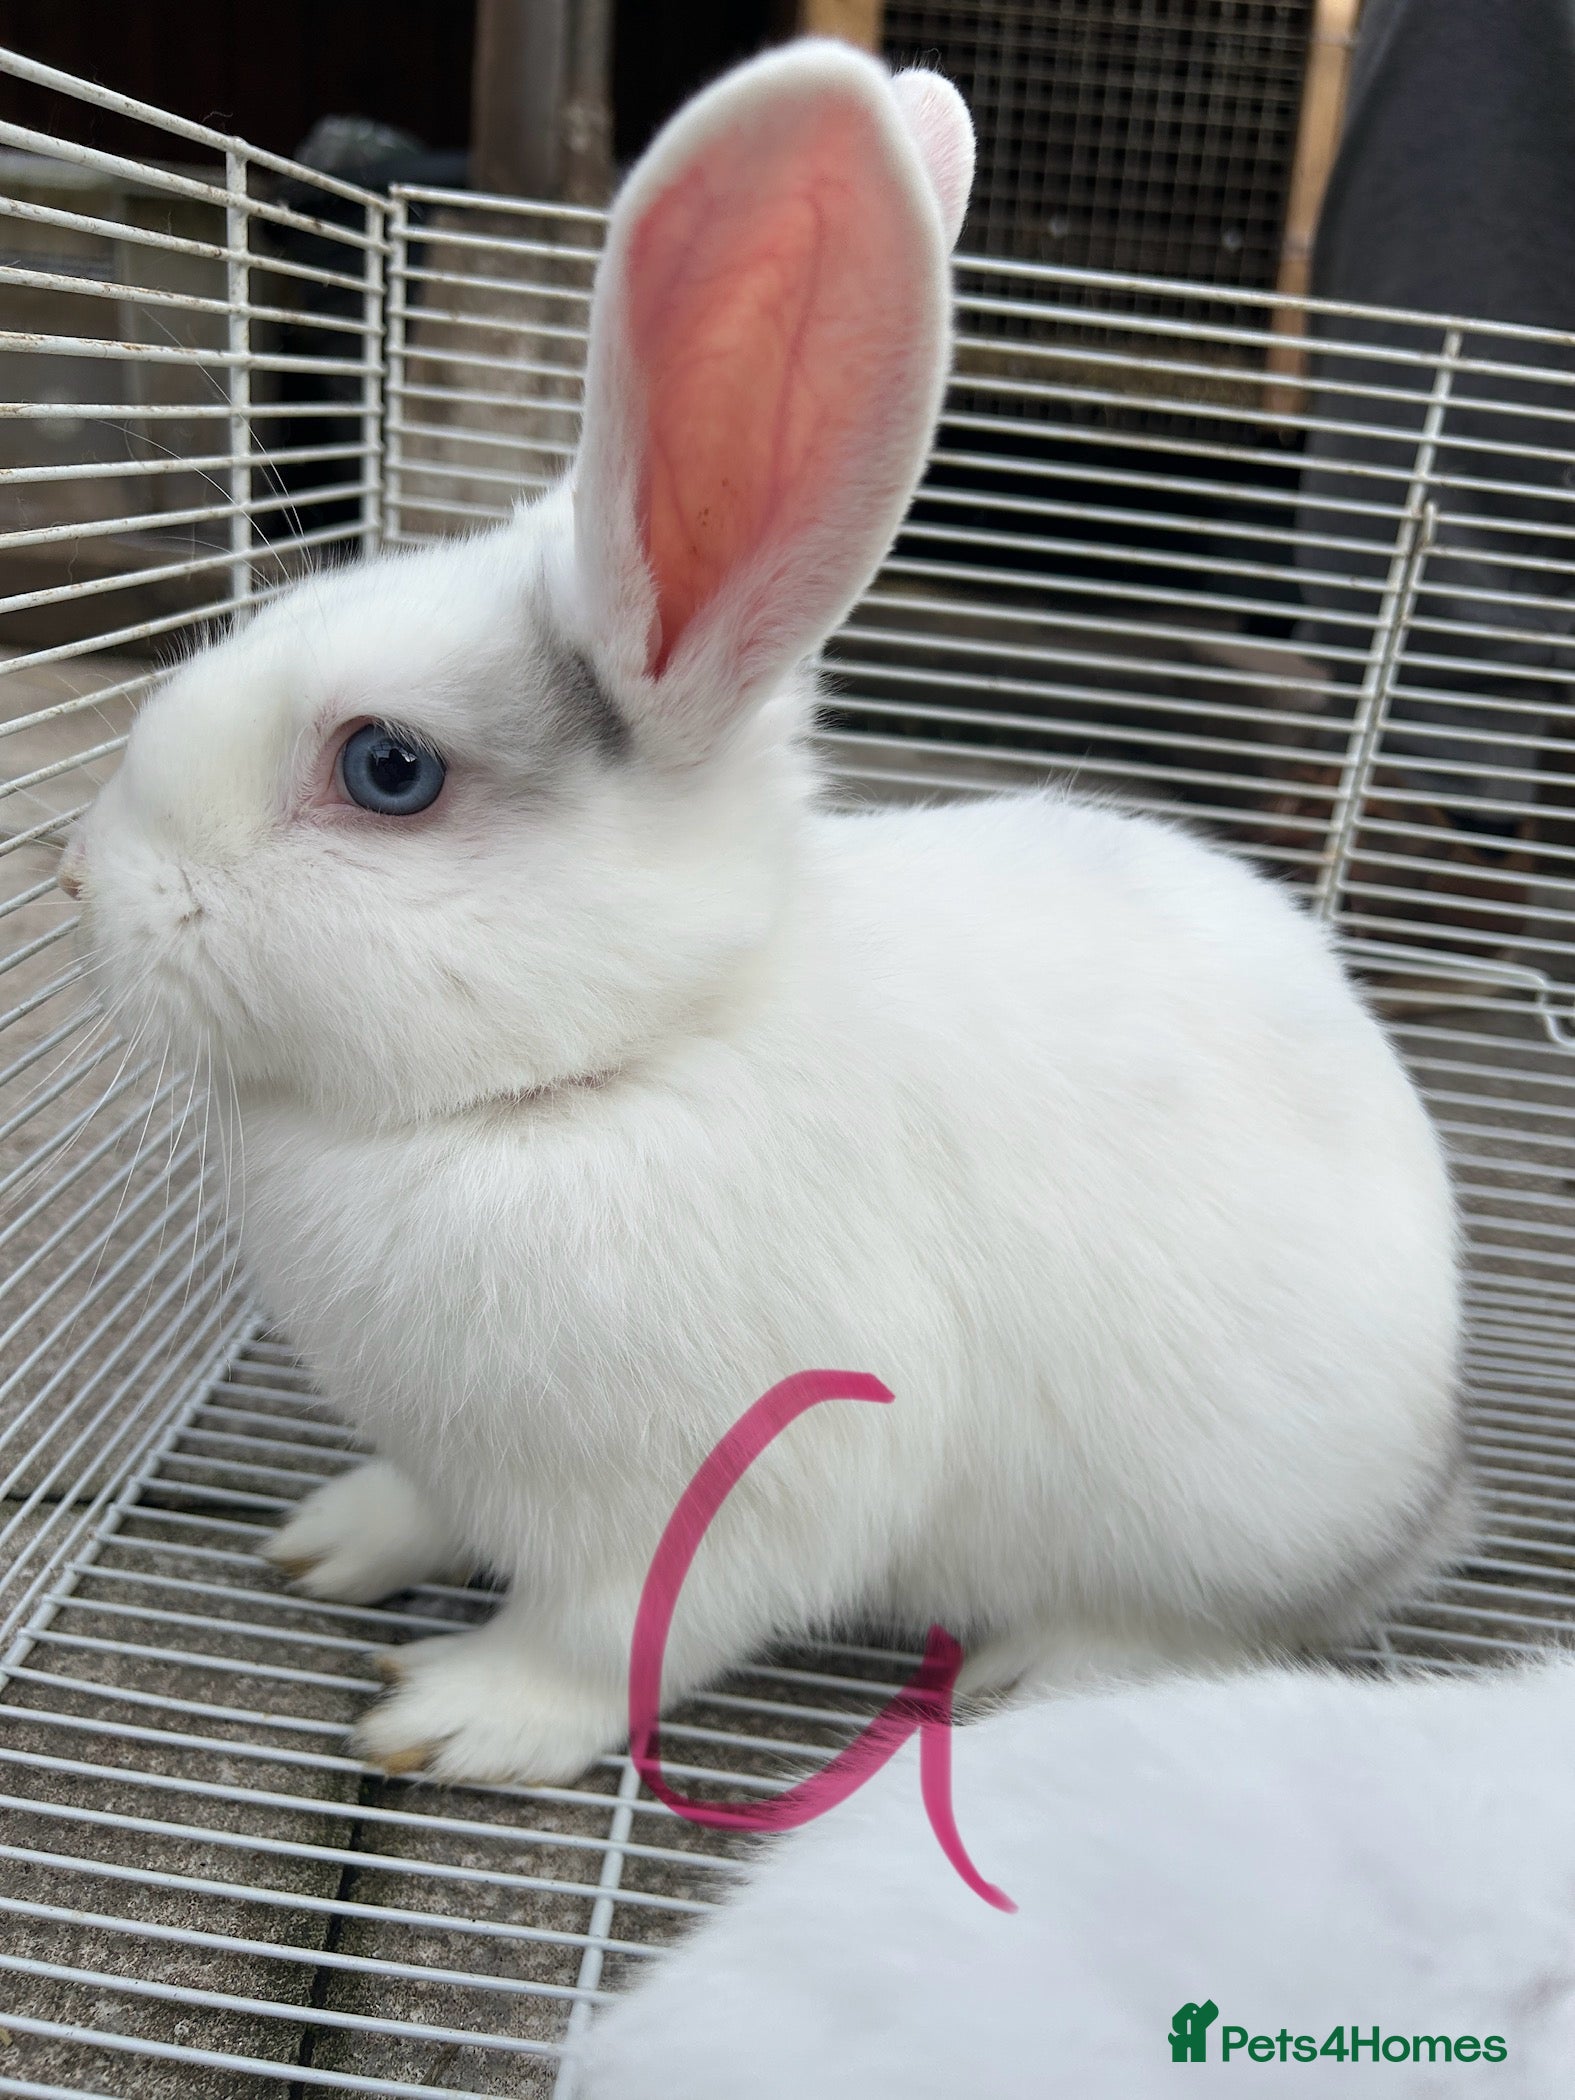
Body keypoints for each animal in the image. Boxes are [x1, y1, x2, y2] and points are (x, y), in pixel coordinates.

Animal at [66, 37, 1468, 1788]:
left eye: (388, 769)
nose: (80, 879)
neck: (611, 1062)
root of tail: (1433, 1484)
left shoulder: (731, 1489)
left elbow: (608, 1641)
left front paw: (454, 1716)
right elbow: (422, 1505)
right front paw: (333, 1540)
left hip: (1220, 1528)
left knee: (1224, 1632)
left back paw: (1035, 1672)